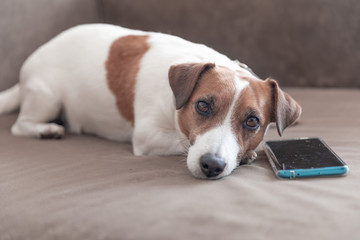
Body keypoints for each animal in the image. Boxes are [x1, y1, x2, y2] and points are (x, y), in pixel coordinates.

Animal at [0, 23, 300, 178]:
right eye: (202, 106)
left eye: (252, 122)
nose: (212, 165)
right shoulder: (148, 136)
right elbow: (181, 143)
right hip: (46, 97)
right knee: (19, 125)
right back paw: (45, 129)